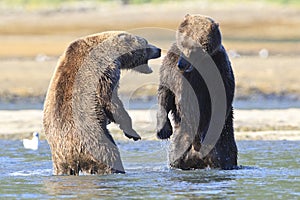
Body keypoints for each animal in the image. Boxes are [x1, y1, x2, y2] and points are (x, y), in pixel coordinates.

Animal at [43, 31, 161, 175]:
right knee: (111, 157)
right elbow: (110, 100)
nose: (158, 50)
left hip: (60, 159)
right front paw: (132, 132)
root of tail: (73, 154)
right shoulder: (105, 70)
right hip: (96, 141)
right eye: (146, 42)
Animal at [157, 14, 239, 170]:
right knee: (176, 156)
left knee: (225, 155)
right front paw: (163, 131)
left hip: (223, 142)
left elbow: (221, 98)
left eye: (197, 47)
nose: (182, 64)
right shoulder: (172, 65)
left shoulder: (218, 67)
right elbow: (165, 91)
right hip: (180, 143)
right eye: (183, 43)